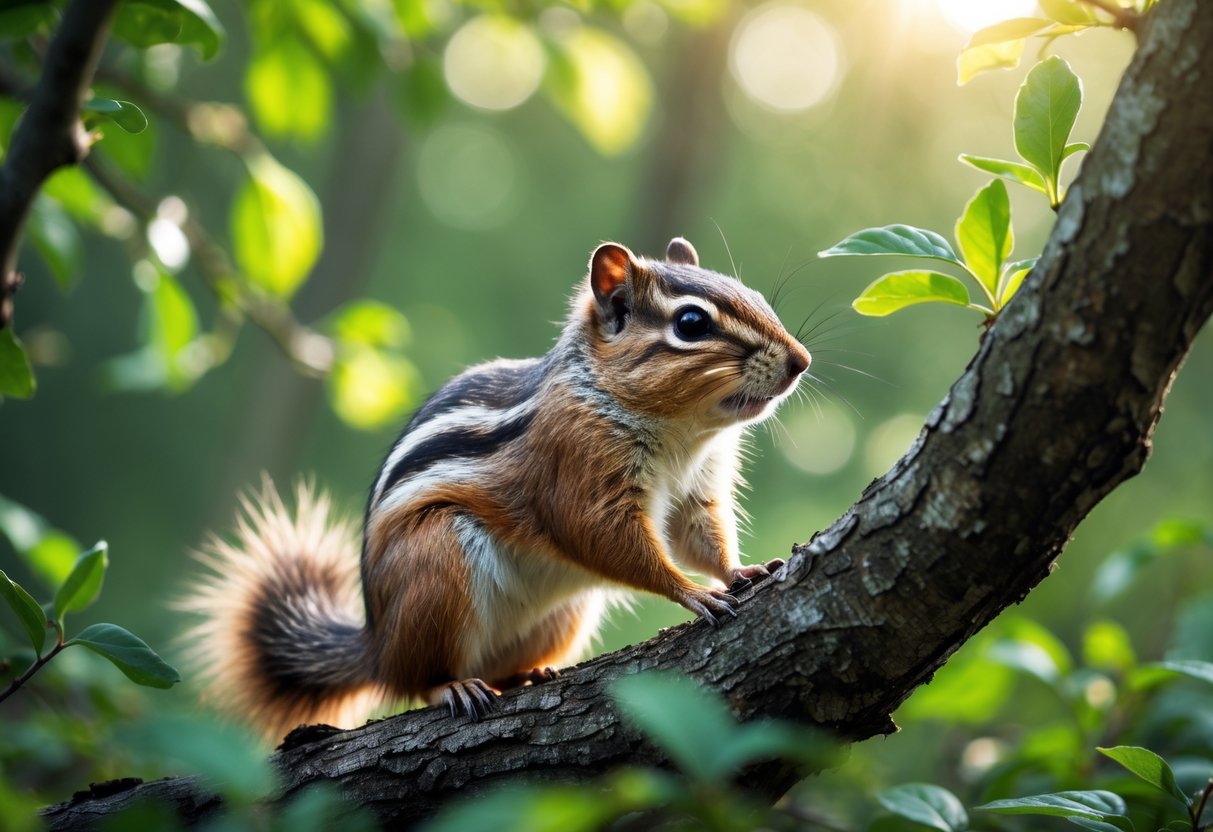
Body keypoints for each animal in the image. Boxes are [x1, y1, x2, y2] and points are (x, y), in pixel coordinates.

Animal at [182, 237, 811, 740]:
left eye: (753, 293)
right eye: (691, 324)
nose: (801, 361)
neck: (683, 433)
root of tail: (376, 643)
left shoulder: (696, 489)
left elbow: (699, 536)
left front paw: (740, 570)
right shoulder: (576, 468)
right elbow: (602, 537)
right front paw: (690, 592)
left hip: (564, 612)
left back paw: (526, 672)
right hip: (438, 561)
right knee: (415, 679)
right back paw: (453, 687)